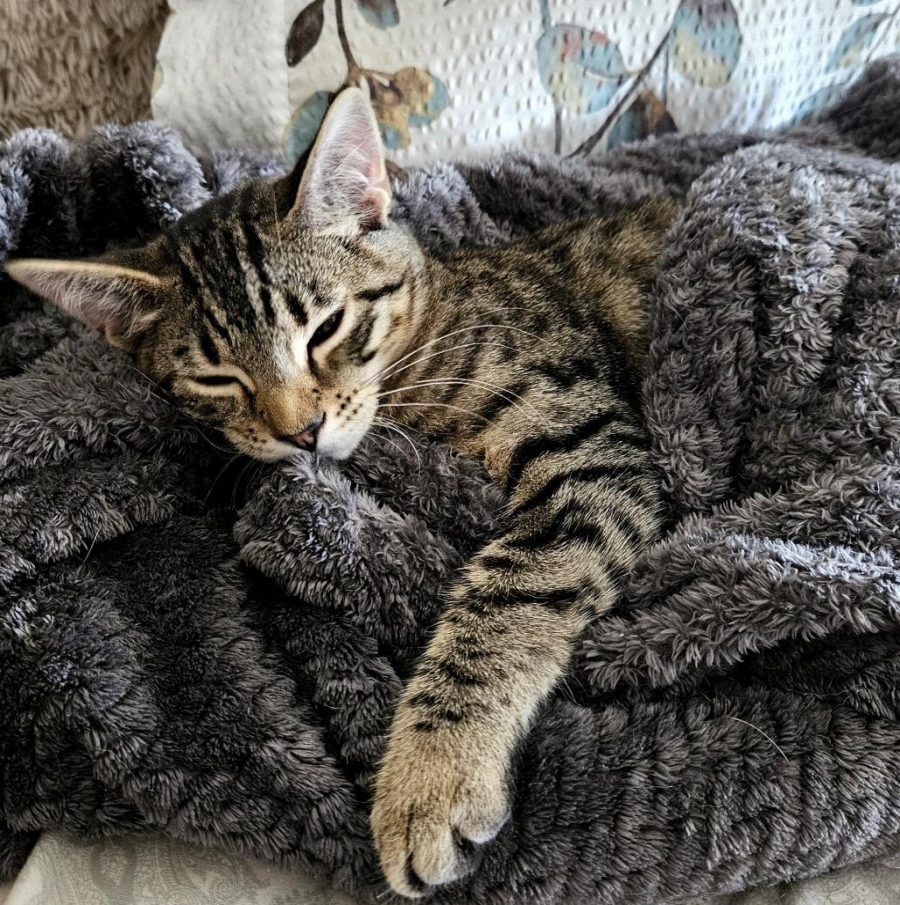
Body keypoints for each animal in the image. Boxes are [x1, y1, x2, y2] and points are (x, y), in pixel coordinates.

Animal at [7, 88, 677, 897]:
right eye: (216, 378)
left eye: (325, 327)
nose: (301, 431)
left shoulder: (594, 444)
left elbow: (508, 594)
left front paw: (431, 779)